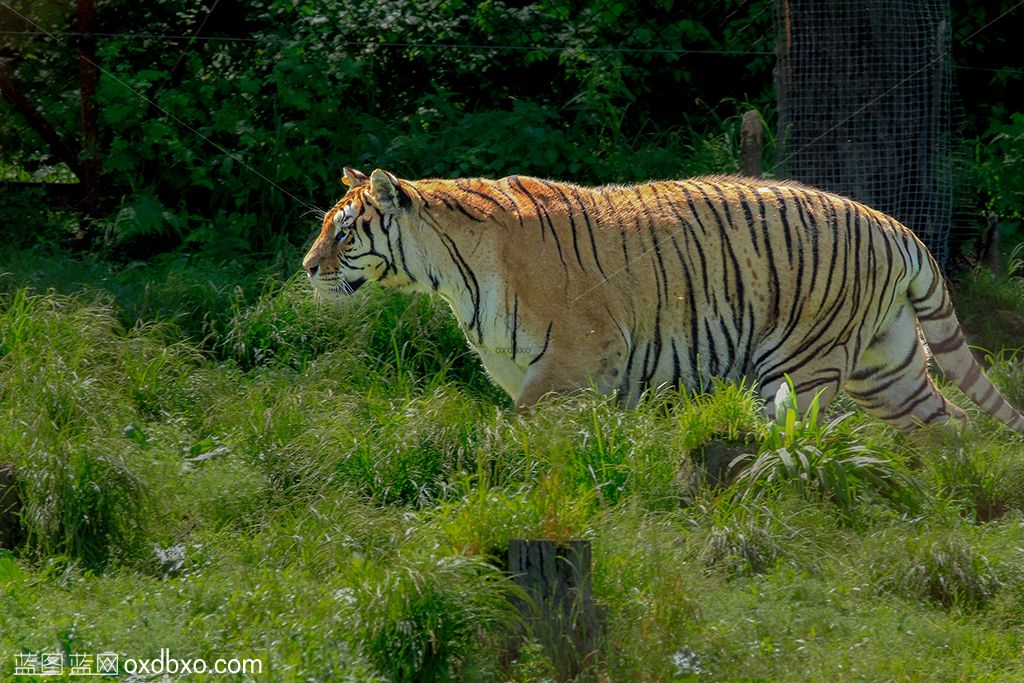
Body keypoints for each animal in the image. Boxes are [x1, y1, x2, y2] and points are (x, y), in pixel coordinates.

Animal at [301, 165, 1024, 432]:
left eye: (344, 232)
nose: (307, 268)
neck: (449, 272)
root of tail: (893, 224)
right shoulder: (537, 372)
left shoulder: (572, 364)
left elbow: (515, 441)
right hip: (888, 366)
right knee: (951, 427)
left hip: (803, 367)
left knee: (793, 440)